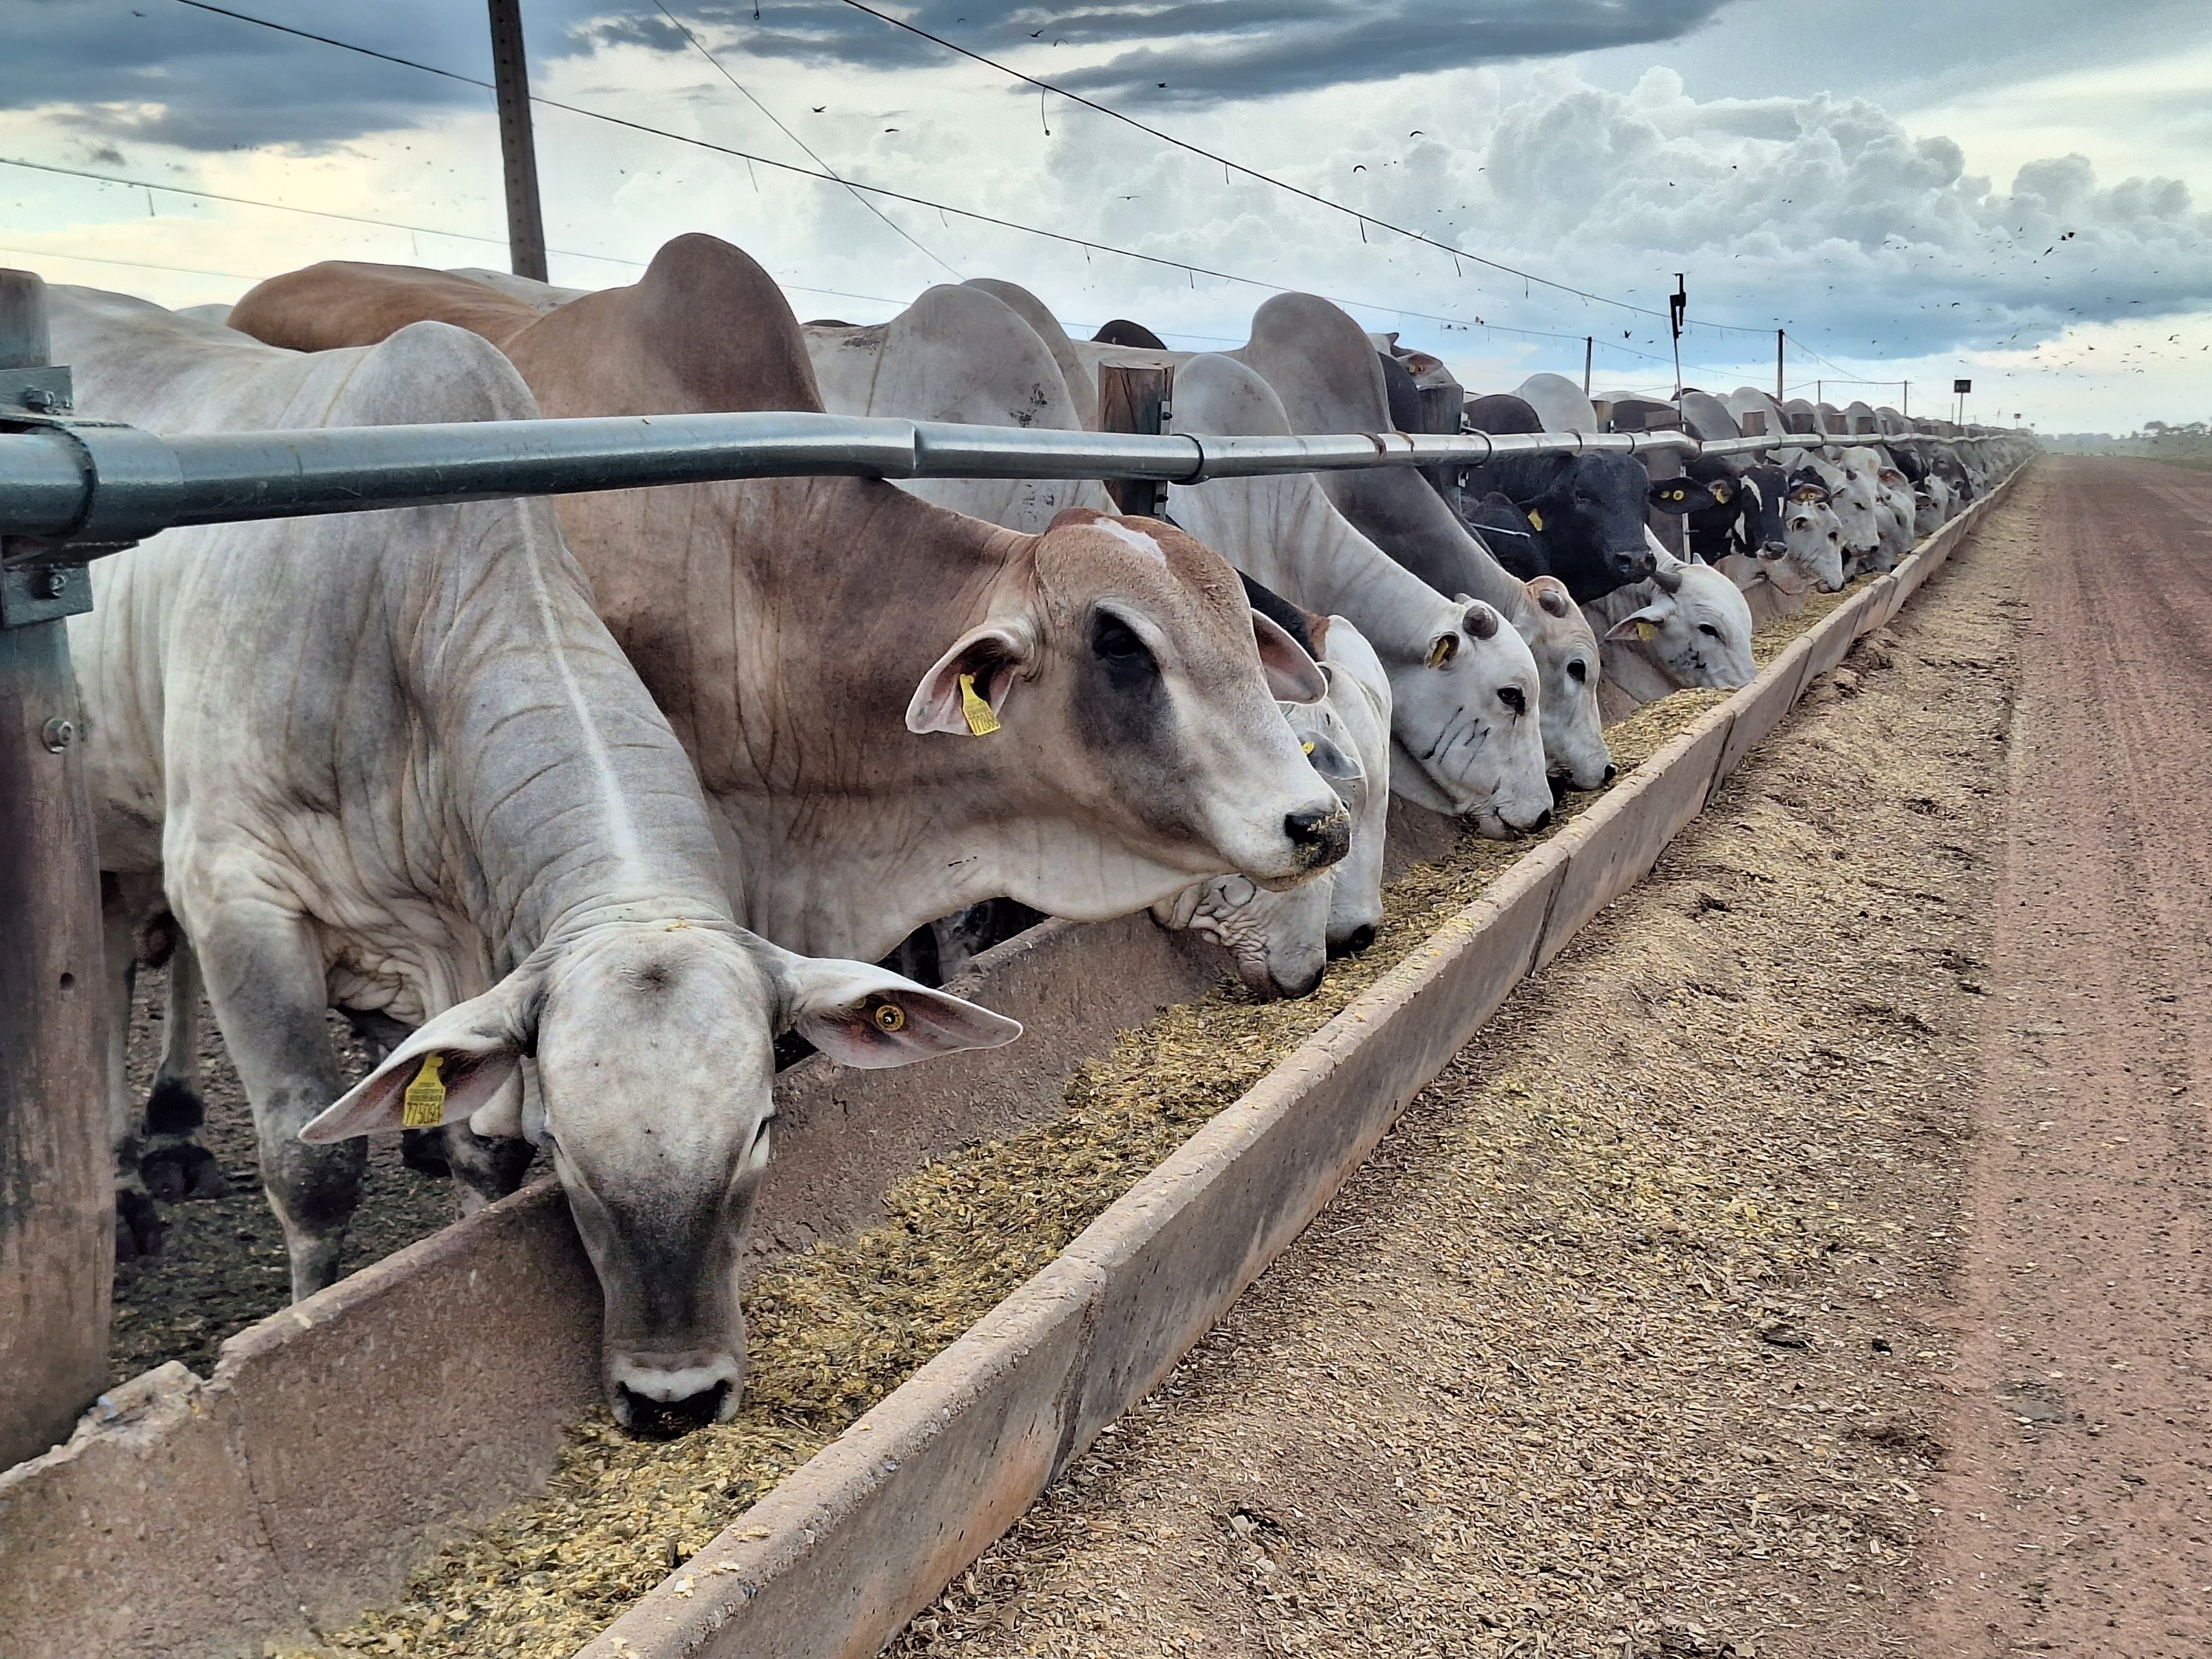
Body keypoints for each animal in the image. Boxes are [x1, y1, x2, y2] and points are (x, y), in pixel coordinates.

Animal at [54, 285, 1017, 1433]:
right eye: (572, 1155)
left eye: (762, 1129)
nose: (675, 1399)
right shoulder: (235, 891)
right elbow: (311, 1167)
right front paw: (305, 1327)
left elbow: (475, 1143)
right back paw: (139, 1164)